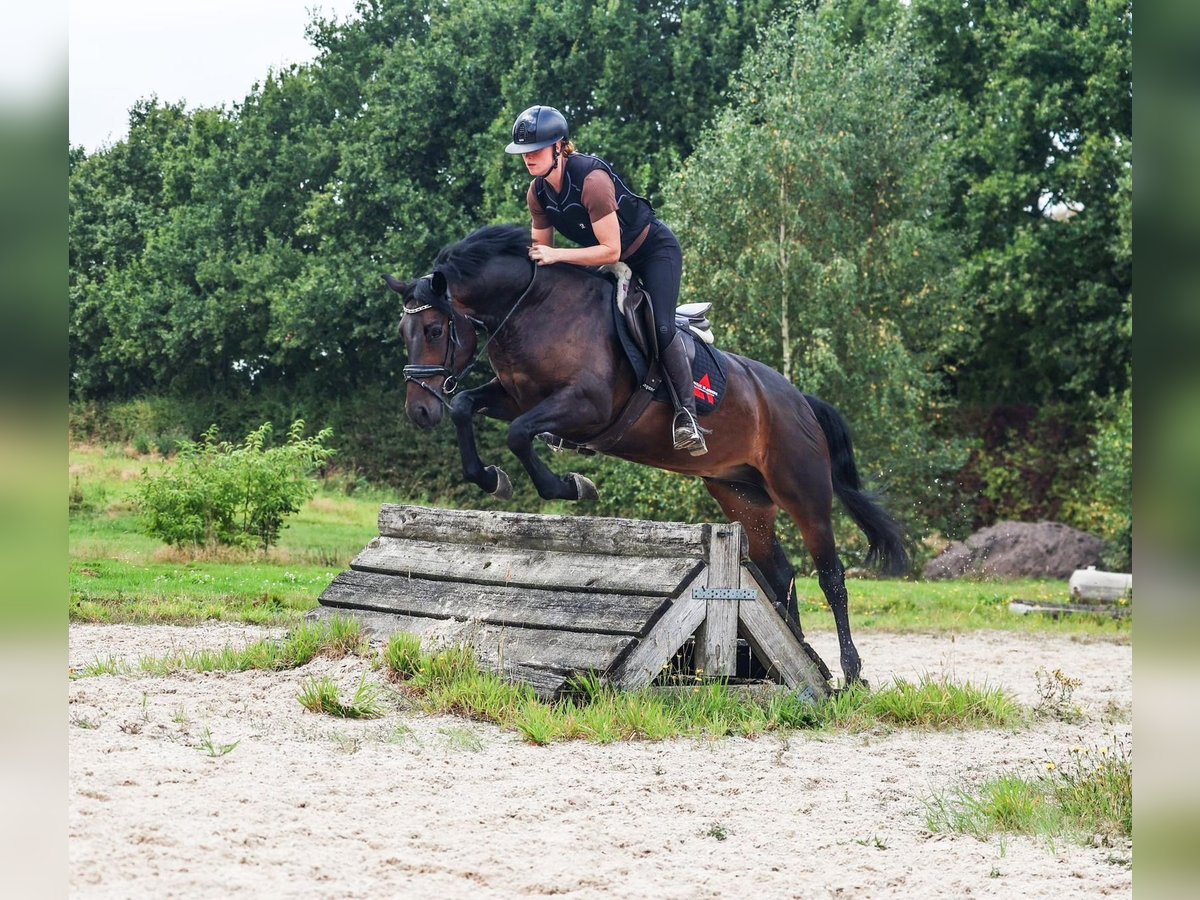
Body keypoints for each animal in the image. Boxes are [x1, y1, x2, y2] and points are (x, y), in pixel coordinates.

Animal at [385, 224, 908, 685]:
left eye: (434, 329)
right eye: (403, 331)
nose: (418, 412)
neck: (535, 307)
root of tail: (800, 400)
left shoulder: (585, 404)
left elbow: (517, 434)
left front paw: (569, 486)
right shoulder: (517, 396)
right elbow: (466, 408)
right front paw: (490, 477)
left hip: (802, 490)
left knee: (831, 576)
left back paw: (850, 673)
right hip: (741, 495)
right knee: (780, 574)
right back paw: (790, 658)